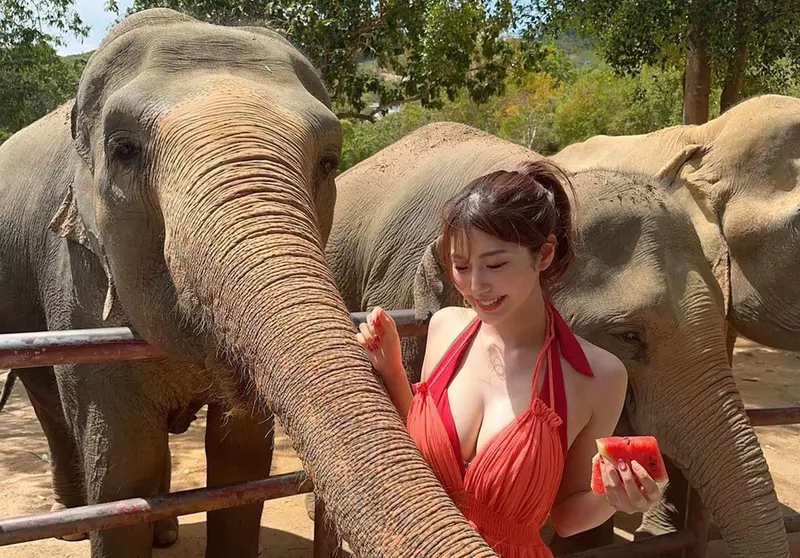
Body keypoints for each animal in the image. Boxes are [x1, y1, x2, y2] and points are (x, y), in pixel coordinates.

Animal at [0, 8, 500, 558]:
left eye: (328, 161)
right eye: (124, 149)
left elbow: (241, 463)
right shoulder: (75, 272)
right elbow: (121, 469)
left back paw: (163, 531)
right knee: (53, 405)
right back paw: (72, 524)